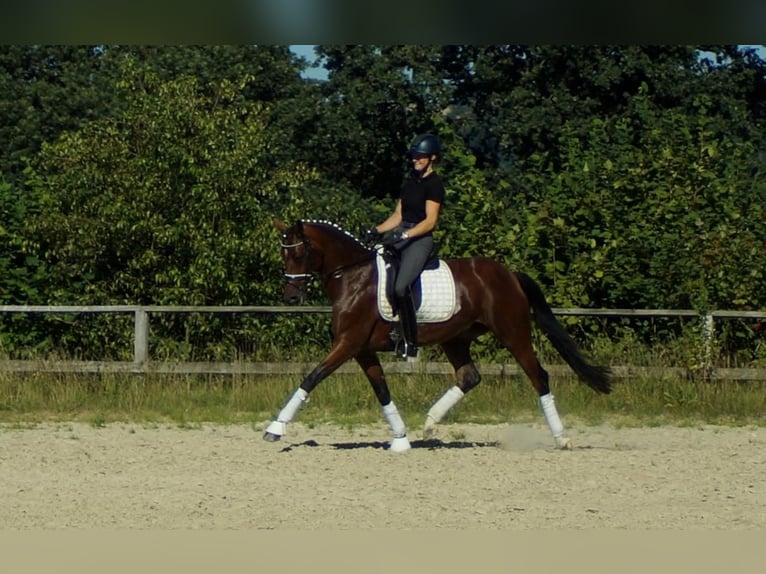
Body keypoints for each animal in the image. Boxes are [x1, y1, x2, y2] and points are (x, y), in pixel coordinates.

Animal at [264, 220, 612, 454]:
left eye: (299, 255)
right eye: (284, 255)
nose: (291, 297)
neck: (353, 276)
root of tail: (509, 275)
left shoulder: (348, 344)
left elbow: (313, 376)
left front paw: (276, 428)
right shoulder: (362, 350)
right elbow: (381, 390)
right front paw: (401, 439)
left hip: (513, 334)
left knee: (538, 376)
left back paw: (561, 438)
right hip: (455, 338)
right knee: (469, 376)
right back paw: (431, 421)